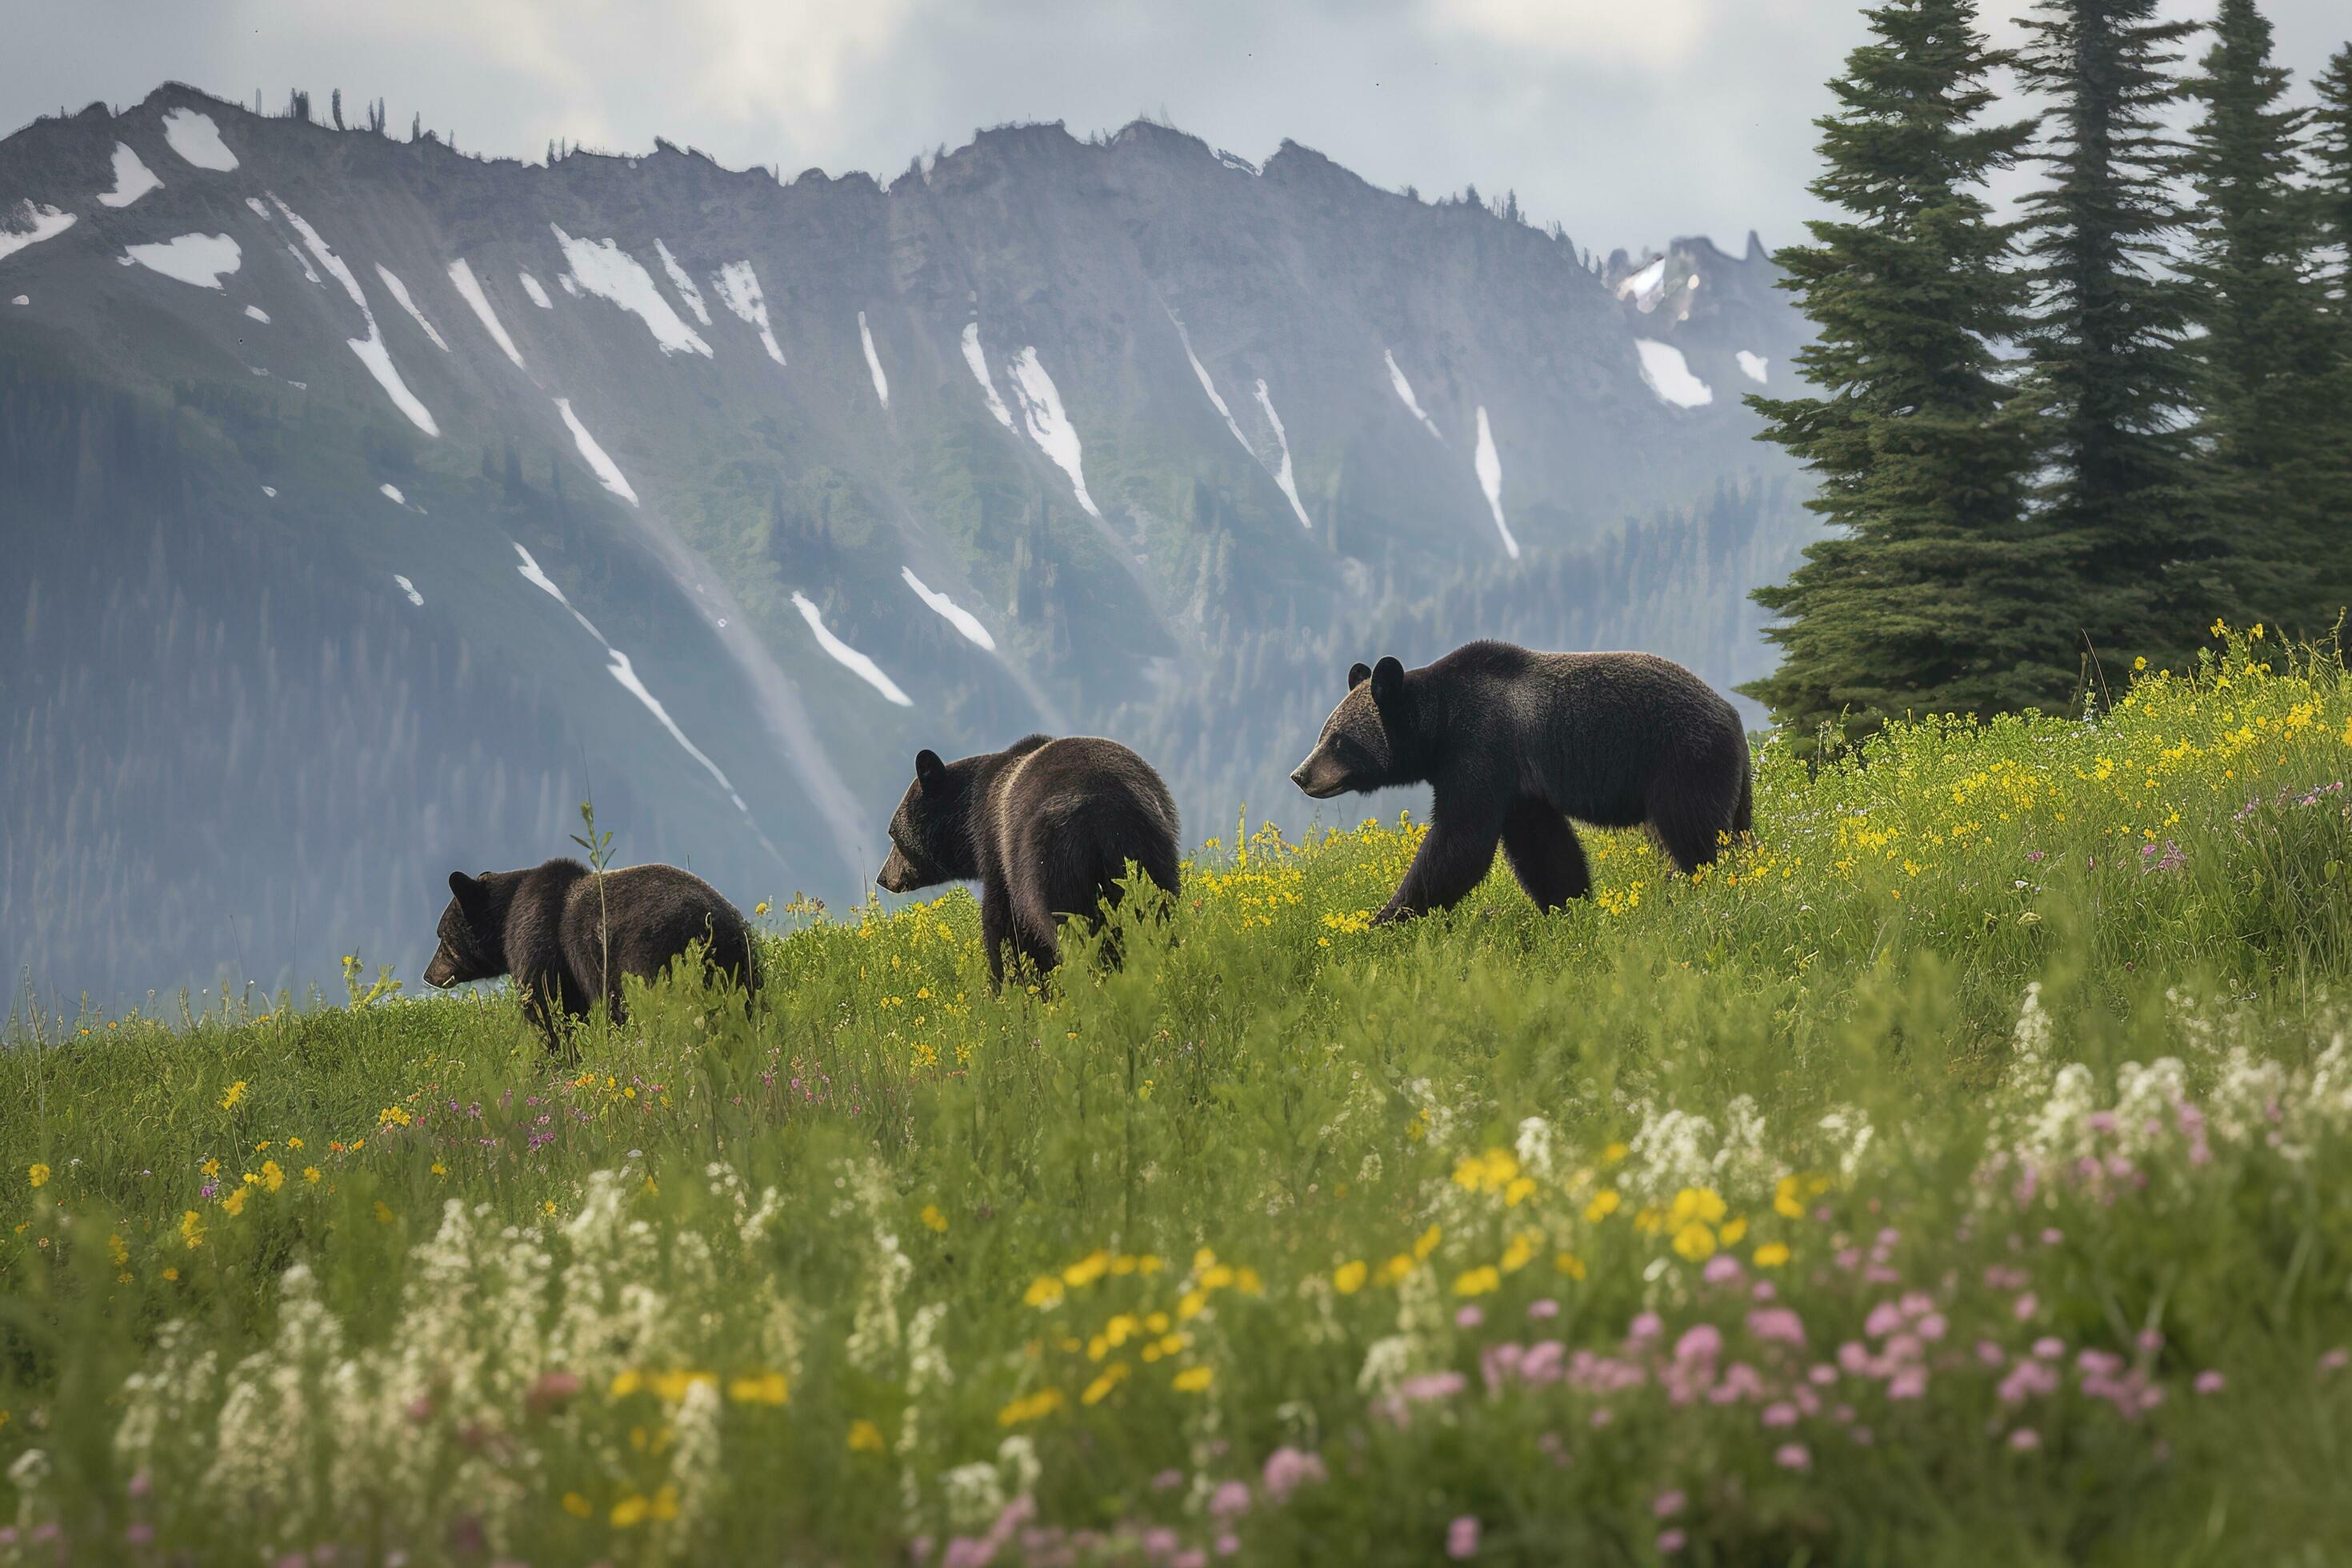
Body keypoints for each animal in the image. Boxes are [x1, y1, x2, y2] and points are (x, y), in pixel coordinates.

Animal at [418, 860, 752, 1053]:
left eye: (441, 936)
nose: (428, 975)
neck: (505, 919)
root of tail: (710, 925)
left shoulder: (543, 945)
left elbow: (548, 1008)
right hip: (739, 965)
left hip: (648, 961)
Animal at [874, 738, 1185, 982]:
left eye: (893, 835)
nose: (883, 877)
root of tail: (1105, 814)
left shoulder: (1000, 852)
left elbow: (1004, 923)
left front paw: (1007, 979)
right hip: (1151, 850)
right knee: (1159, 908)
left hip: (1054, 859)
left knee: (1074, 923)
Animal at [1289, 644, 1750, 926]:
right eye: (1323, 734)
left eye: (1339, 740)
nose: (1301, 774)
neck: (1440, 727)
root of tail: (1732, 714)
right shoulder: (1520, 787)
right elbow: (1544, 849)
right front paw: (1569, 905)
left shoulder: (1483, 748)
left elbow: (1461, 841)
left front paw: (1388, 917)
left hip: (1681, 761)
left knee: (1695, 834)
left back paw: (1702, 888)